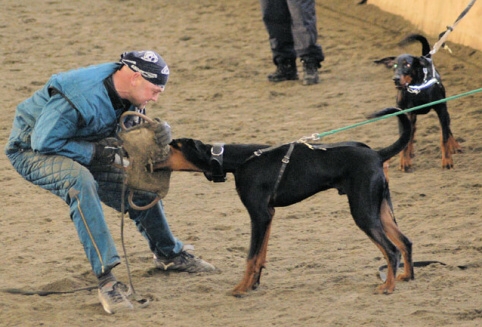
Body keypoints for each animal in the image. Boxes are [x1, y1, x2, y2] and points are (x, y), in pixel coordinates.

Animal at [153, 108, 414, 298]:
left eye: (170, 146)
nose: (150, 160)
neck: (239, 160)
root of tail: (378, 154)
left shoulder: (258, 215)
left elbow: (251, 256)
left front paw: (240, 289)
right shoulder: (268, 214)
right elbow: (260, 255)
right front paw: (254, 284)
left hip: (363, 212)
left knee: (391, 250)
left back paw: (388, 287)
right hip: (381, 209)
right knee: (405, 242)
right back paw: (406, 277)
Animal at [374, 34, 462, 172]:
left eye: (408, 65)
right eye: (394, 66)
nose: (395, 79)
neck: (417, 89)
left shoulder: (441, 109)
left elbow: (444, 137)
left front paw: (447, 161)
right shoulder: (405, 113)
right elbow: (405, 138)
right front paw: (404, 162)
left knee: (447, 126)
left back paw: (454, 145)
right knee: (411, 131)